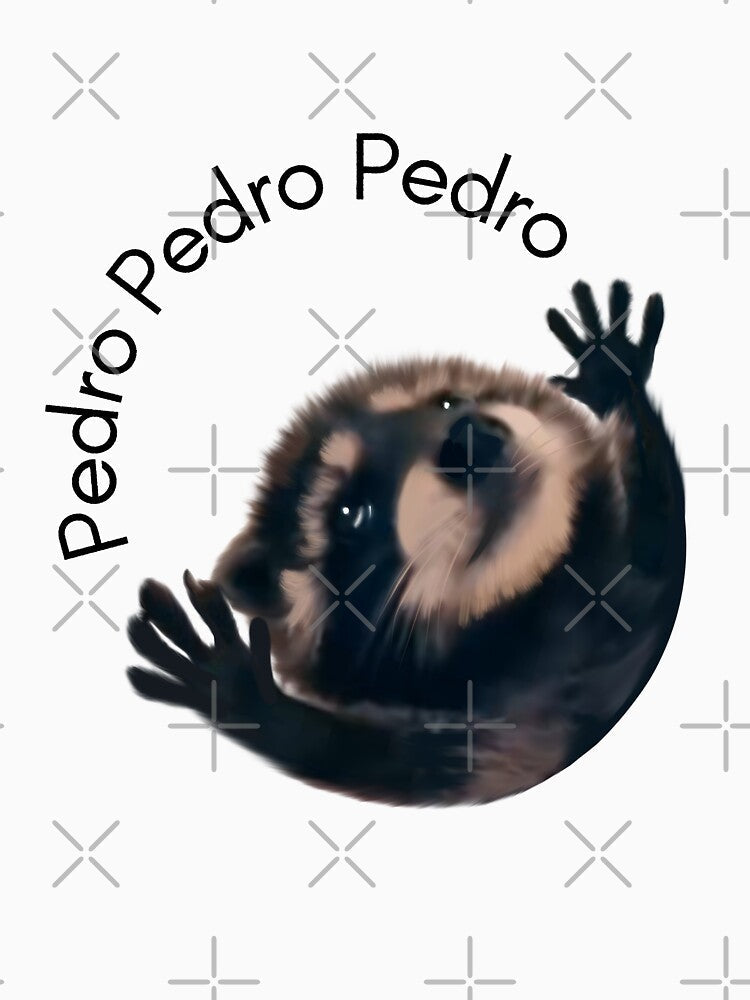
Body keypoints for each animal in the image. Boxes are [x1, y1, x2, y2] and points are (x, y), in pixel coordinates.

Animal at [127, 281, 686, 805]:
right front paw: (245, 695)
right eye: (351, 514)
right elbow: (395, 764)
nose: (468, 441)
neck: (531, 603)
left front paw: (615, 378)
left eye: (447, 401)